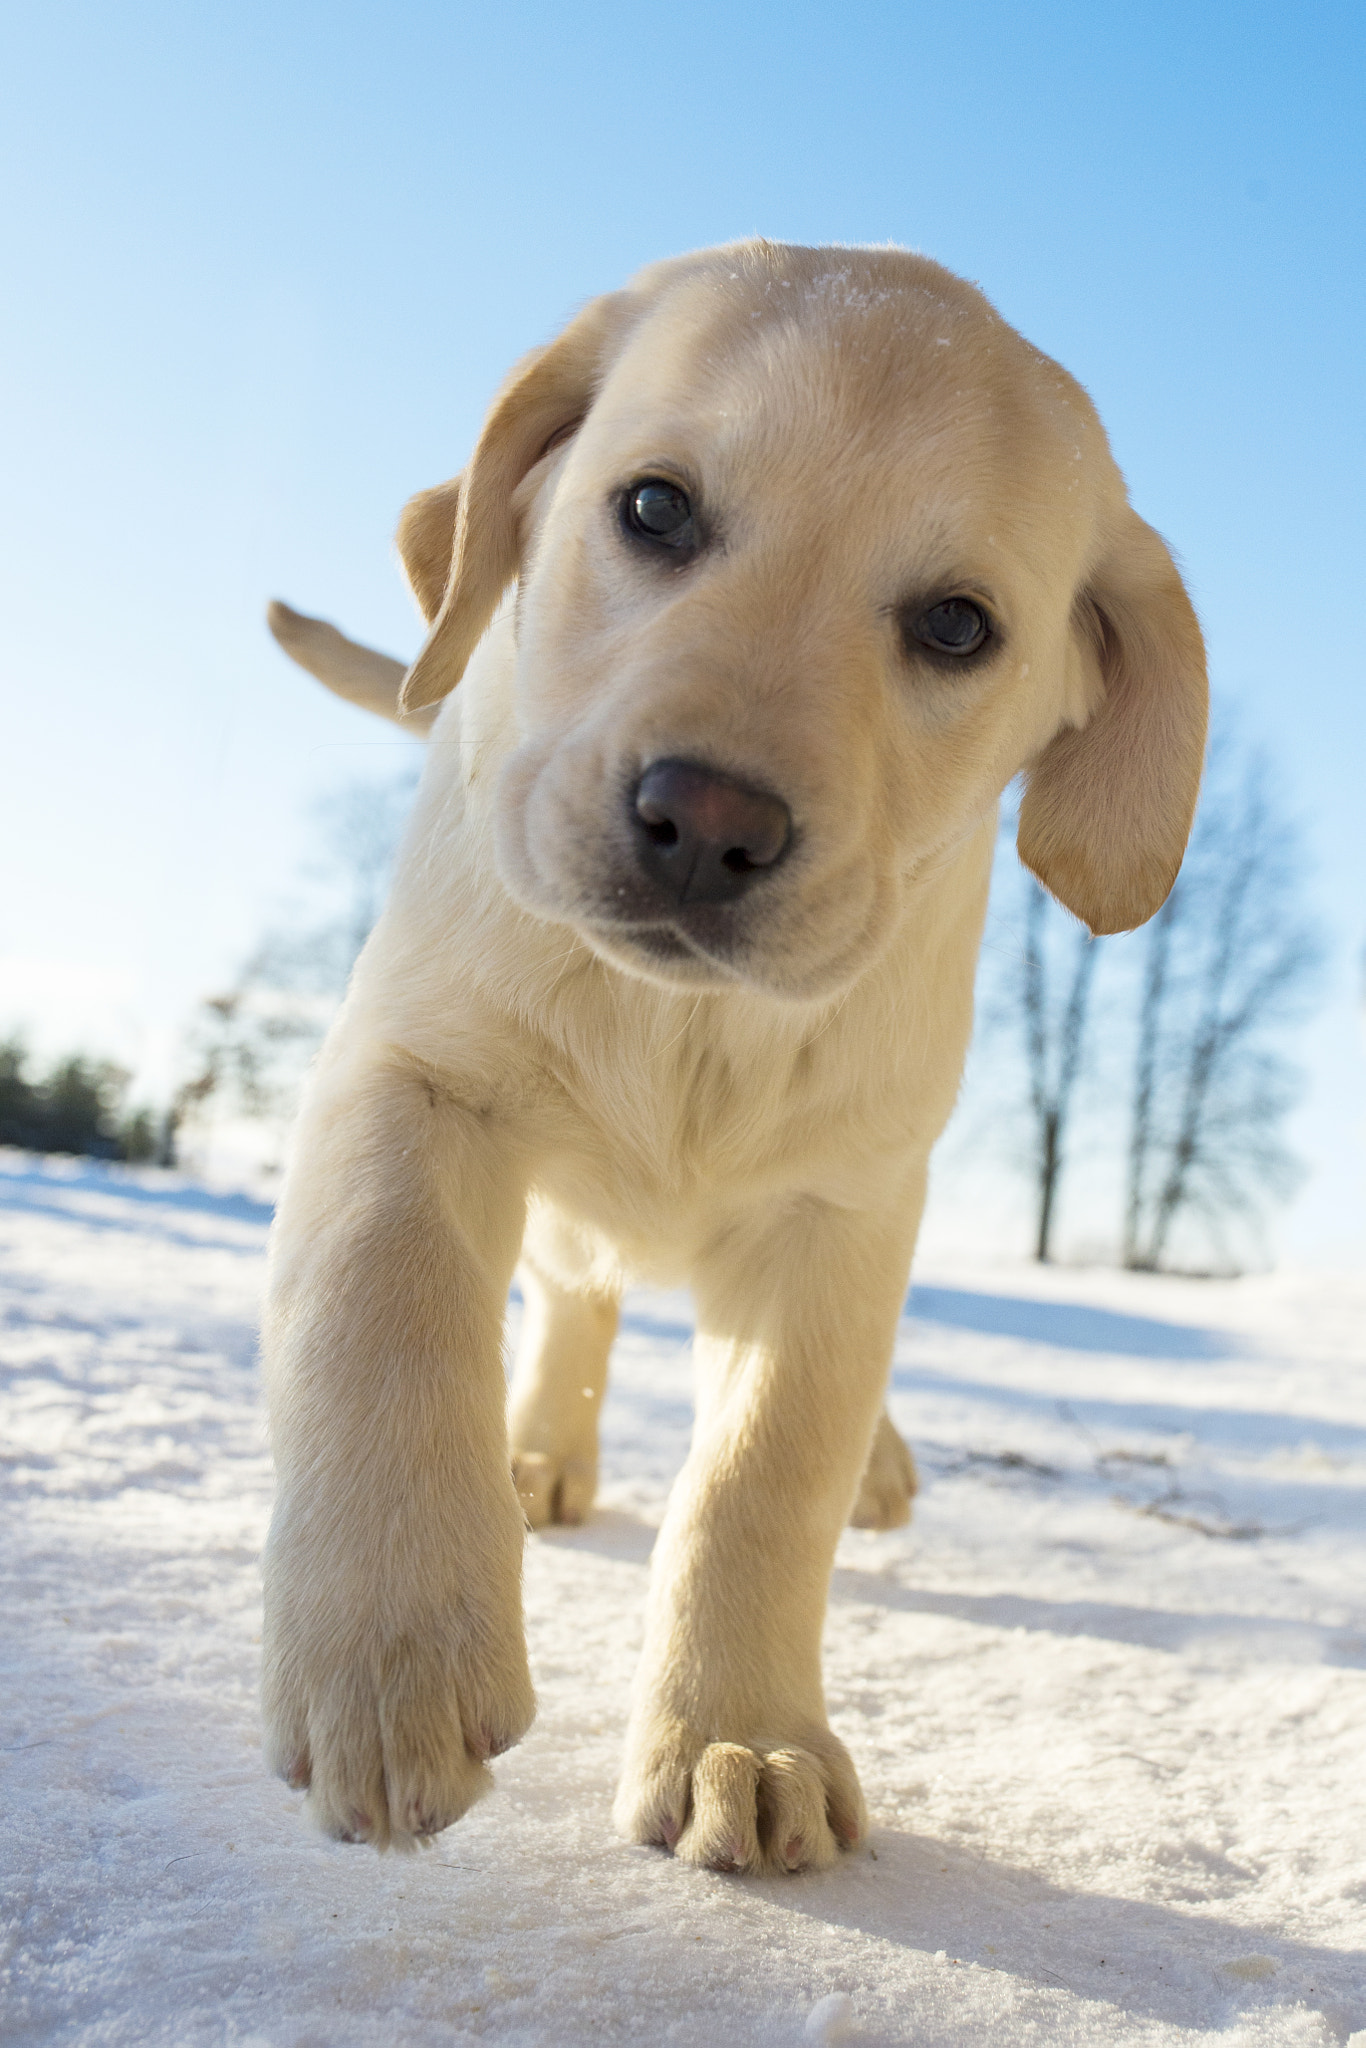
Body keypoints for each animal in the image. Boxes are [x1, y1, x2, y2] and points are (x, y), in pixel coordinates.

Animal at [262, 239, 1204, 1875]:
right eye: (653, 509)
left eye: (957, 626)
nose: (706, 823)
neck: (685, 1023)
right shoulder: (408, 1068)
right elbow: (383, 1300)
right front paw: (385, 1664)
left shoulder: (843, 1206)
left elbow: (768, 1465)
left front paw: (740, 1737)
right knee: (570, 1293)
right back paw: (531, 1459)